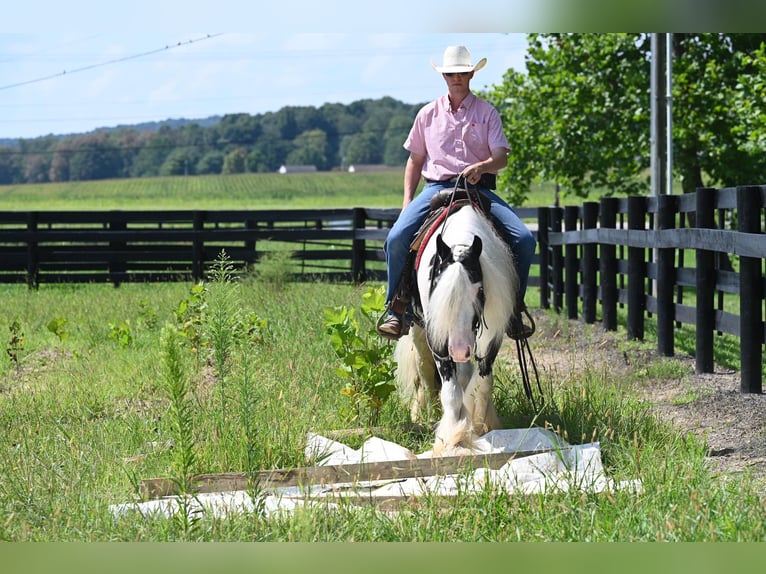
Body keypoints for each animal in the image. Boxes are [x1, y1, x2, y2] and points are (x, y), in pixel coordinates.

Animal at [392, 200, 520, 456]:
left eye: (478, 289)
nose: (460, 350)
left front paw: (479, 424)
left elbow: (481, 383)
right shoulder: (438, 338)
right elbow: (450, 391)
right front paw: (453, 438)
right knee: (425, 376)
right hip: (419, 333)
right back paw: (425, 415)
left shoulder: (491, 337)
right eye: (438, 288)